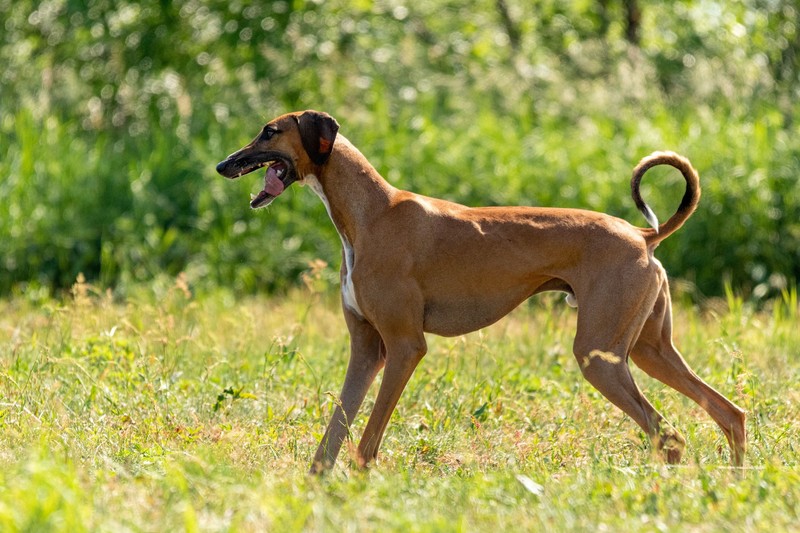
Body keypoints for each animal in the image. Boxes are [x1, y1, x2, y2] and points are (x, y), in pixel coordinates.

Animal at [216, 108, 748, 470]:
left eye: (269, 131)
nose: (223, 164)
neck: (371, 212)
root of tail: (642, 236)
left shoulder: (404, 347)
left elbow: (367, 442)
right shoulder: (366, 350)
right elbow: (331, 439)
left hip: (600, 357)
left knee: (670, 435)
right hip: (647, 351)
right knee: (729, 413)